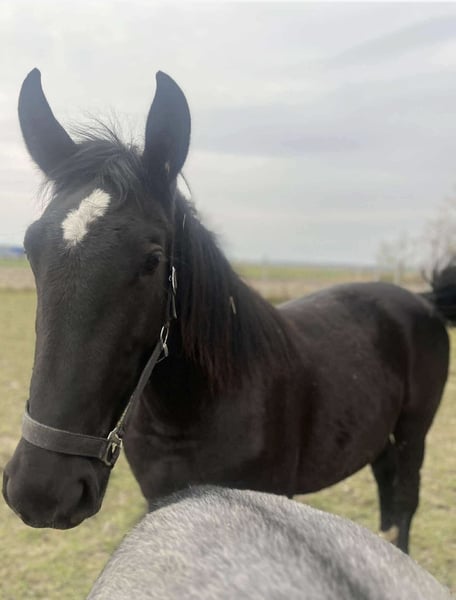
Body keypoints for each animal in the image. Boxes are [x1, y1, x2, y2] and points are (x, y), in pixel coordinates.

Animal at [3, 68, 455, 554]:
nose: (41, 488)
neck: (200, 407)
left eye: (153, 259)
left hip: (412, 436)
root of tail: (423, 301)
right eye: (30, 248)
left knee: (403, 509)